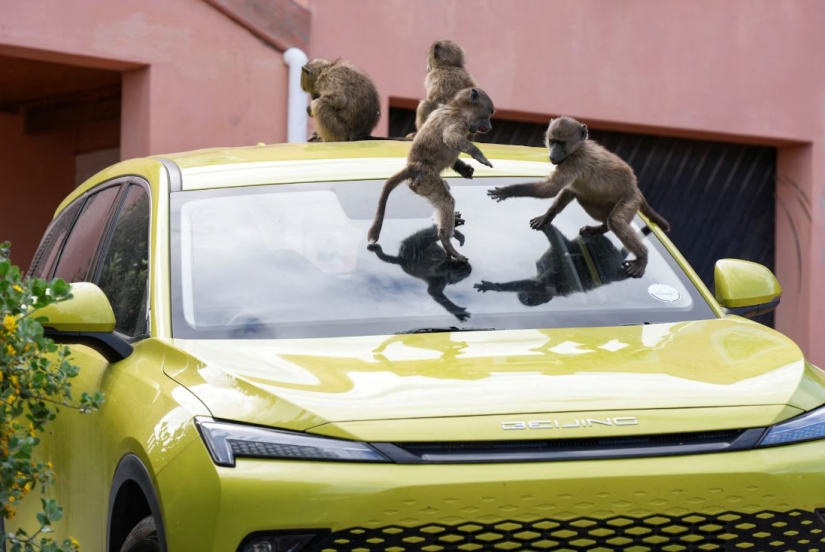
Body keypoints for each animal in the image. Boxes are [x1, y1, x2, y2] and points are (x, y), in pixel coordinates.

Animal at [367, 87, 496, 263]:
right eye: (489, 113)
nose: (489, 127)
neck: (457, 107)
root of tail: (413, 166)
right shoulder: (457, 120)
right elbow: (450, 137)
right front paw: (479, 156)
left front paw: (465, 169)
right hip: (427, 179)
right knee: (446, 201)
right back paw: (446, 241)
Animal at [474, 224, 651, 306]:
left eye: (529, 299)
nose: (523, 297)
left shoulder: (545, 286)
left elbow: (535, 284)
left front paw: (496, 286)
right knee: (564, 242)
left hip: (609, 265)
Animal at [486, 116, 670, 278]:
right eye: (552, 141)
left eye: (561, 143)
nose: (552, 155)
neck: (578, 148)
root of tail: (635, 188)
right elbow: (568, 191)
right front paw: (546, 217)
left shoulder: (575, 161)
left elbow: (551, 189)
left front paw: (507, 191)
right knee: (588, 200)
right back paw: (602, 228)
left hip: (630, 200)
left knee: (616, 220)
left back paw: (642, 257)